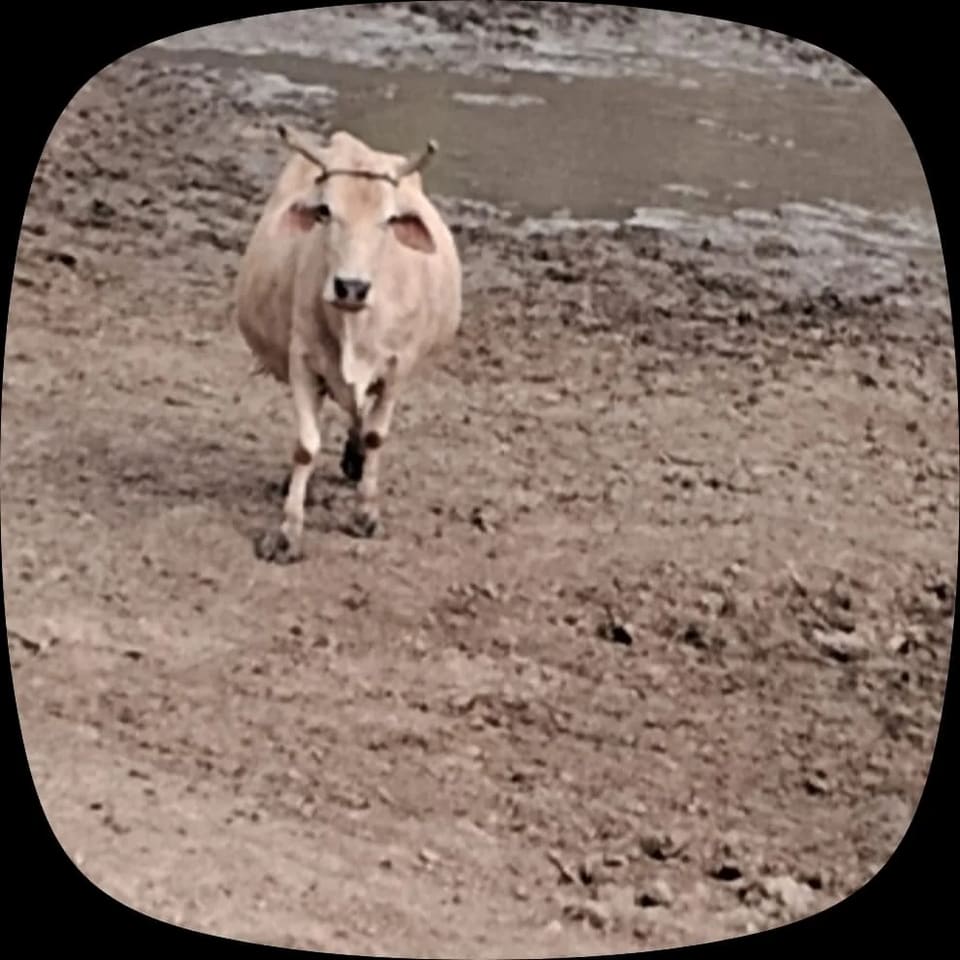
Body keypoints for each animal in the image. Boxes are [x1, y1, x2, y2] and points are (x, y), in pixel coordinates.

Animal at [235, 123, 463, 563]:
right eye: (325, 211)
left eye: (389, 219)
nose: (351, 287)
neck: (354, 325)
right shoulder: (303, 363)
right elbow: (306, 445)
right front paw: (288, 532)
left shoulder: (396, 369)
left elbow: (375, 435)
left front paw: (365, 515)